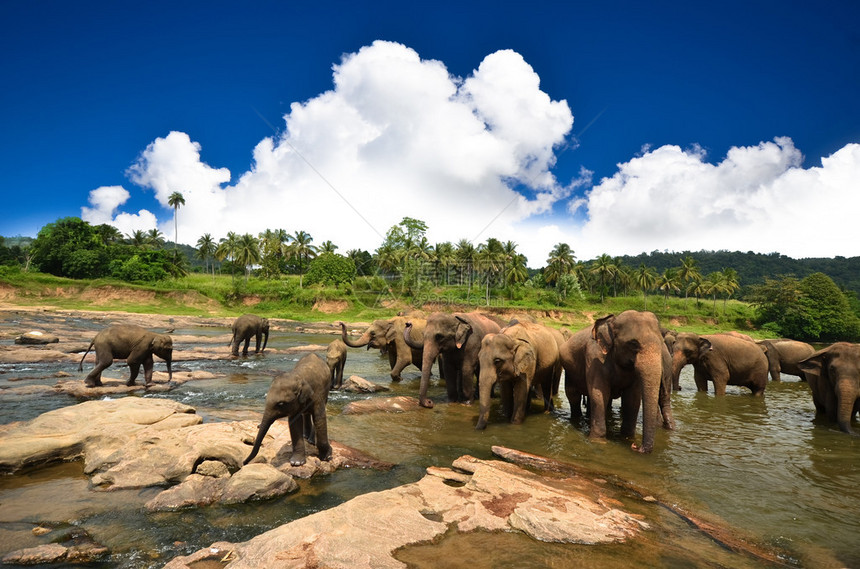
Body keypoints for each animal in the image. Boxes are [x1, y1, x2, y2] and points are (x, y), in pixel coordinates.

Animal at [584, 310, 672, 452]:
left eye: (661, 342)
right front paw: (598, 441)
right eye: (633, 344)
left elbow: (632, 398)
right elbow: (599, 394)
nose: (636, 446)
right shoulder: (594, 357)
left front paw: (627, 438)